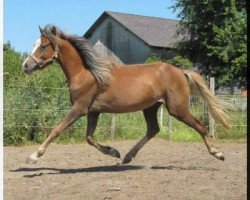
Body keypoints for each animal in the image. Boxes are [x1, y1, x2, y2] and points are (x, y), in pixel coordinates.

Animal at [22, 25, 229, 165]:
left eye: (43, 46)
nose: (26, 66)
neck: (87, 74)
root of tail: (181, 72)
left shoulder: (79, 109)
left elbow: (56, 130)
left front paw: (33, 156)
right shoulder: (93, 112)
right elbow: (89, 138)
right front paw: (114, 152)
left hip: (177, 109)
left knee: (200, 126)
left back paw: (218, 153)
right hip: (151, 107)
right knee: (153, 129)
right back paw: (128, 156)